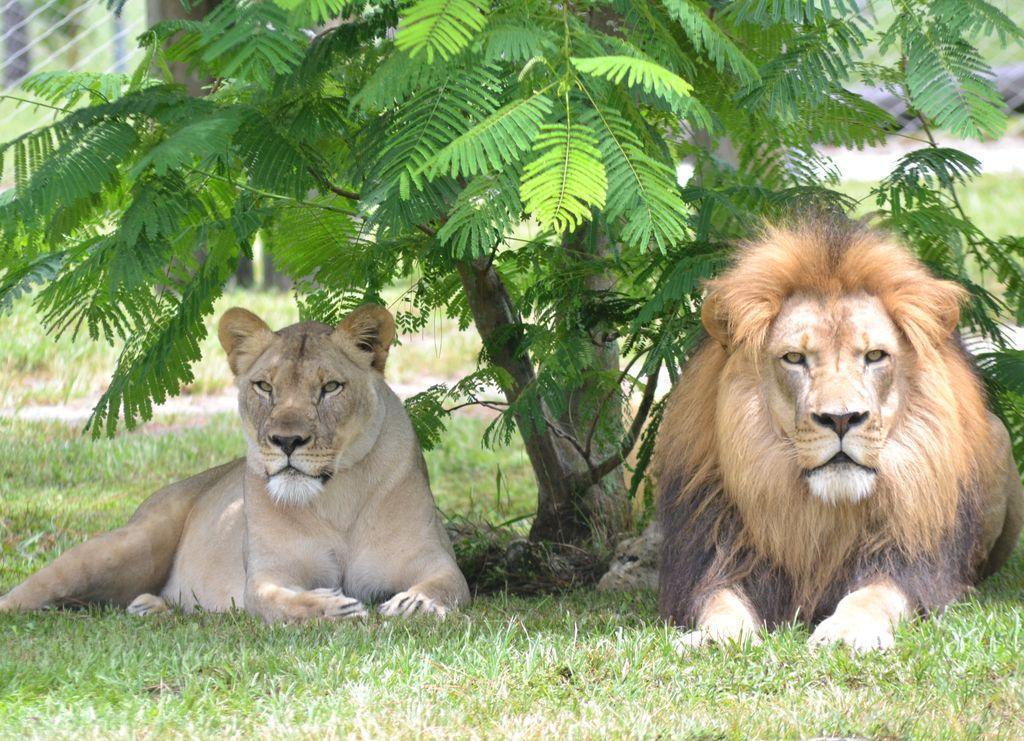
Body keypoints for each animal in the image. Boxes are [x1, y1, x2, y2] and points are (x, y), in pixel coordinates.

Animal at [0, 305, 470, 621]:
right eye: (264, 386)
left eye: (330, 387)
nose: (286, 441)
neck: (336, 496)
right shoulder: (266, 574)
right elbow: (274, 601)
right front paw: (331, 607)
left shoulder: (433, 561)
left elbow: (446, 585)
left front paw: (414, 604)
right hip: (127, 545)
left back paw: (152, 606)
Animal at [656, 218, 1023, 651]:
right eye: (794, 358)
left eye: (875, 356)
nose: (842, 419)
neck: (824, 514)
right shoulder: (721, 555)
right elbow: (720, 601)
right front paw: (715, 637)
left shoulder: (905, 561)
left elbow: (874, 595)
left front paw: (848, 631)